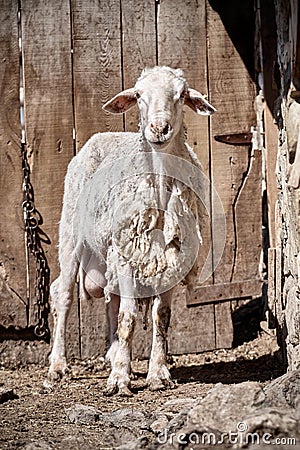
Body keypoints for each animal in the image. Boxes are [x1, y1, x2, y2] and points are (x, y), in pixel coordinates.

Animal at [48, 66, 216, 394]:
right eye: (138, 96)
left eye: (181, 95)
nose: (159, 129)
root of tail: (102, 135)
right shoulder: (128, 255)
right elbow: (128, 317)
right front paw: (119, 379)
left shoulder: (171, 257)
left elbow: (161, 316)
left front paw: (157, 373)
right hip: (72, 233)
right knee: (63, 294)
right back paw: (58, 365)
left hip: (110, 250)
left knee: (111, 302)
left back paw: (115, 355)